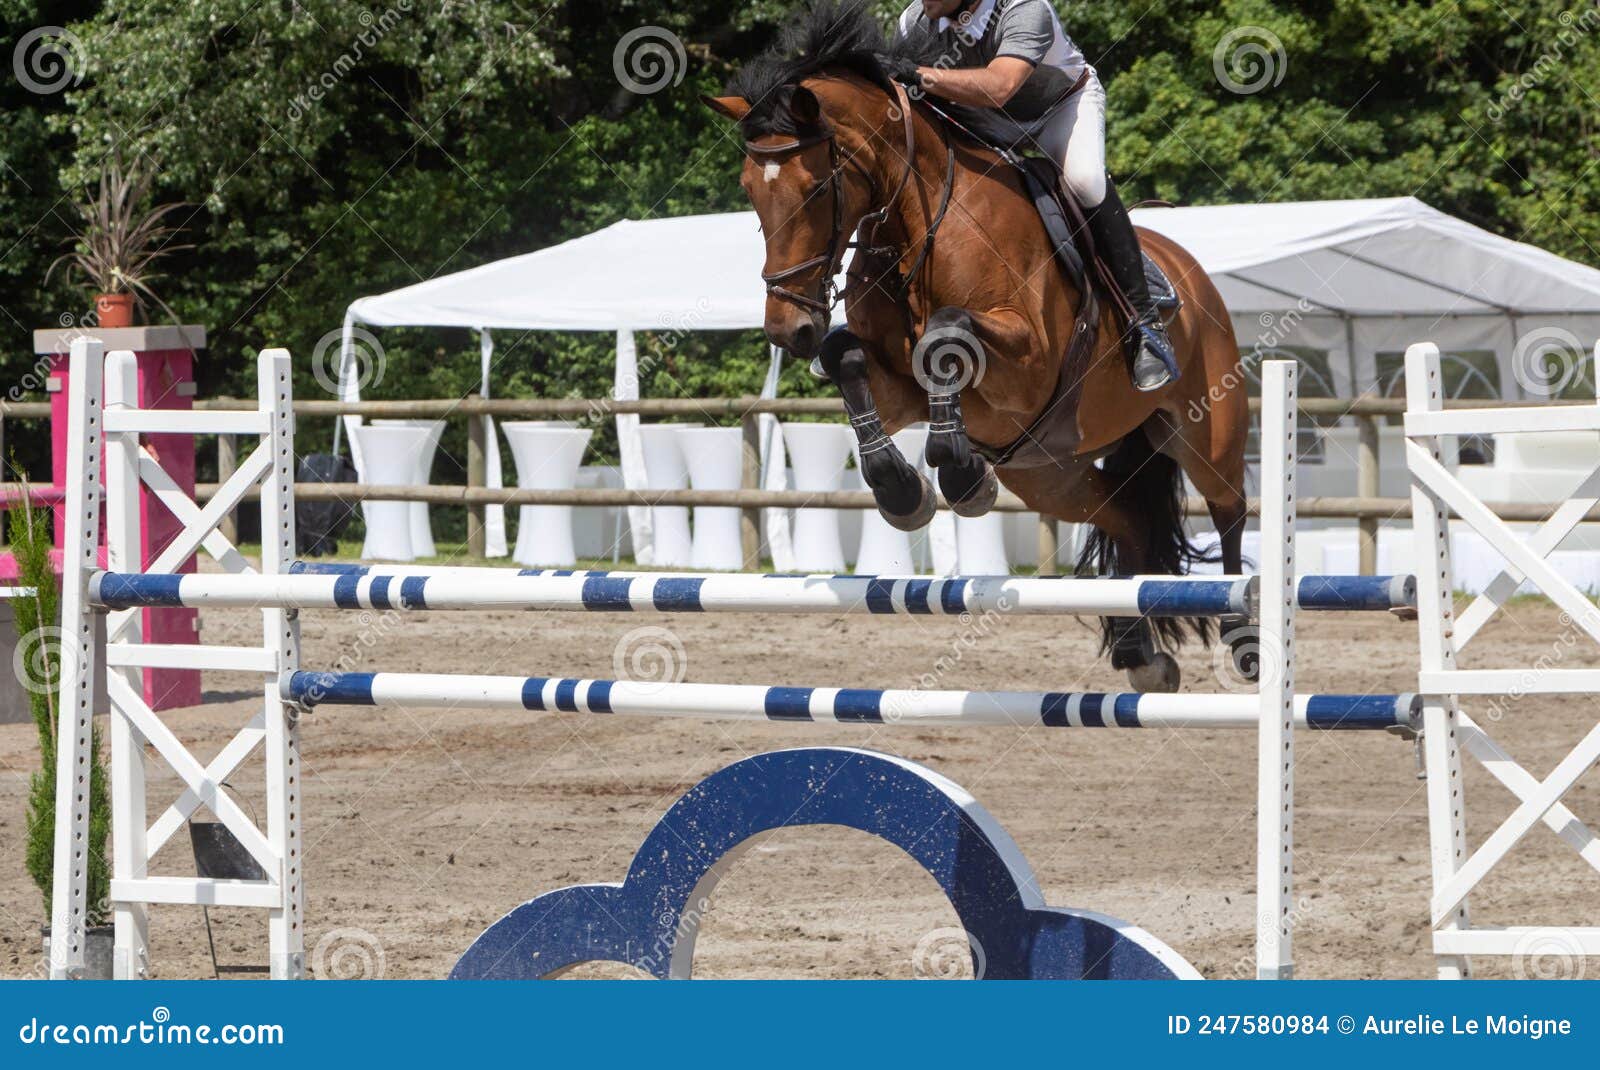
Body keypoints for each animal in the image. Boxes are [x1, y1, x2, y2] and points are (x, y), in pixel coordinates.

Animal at [710, 4, 1248, 687]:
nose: (787, 329)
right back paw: (1139, 654)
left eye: (814, 187)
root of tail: (1191, 271)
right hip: (1049, 474)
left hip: (1206, 432)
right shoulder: (900, 388)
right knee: (1125, 517)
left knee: (1231, 509)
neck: (917, 225)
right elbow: (848, 358)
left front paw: (962, 474)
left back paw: (1242, 635)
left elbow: (947, 331)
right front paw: (903, 490)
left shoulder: (1030, 363)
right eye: (750, 190)